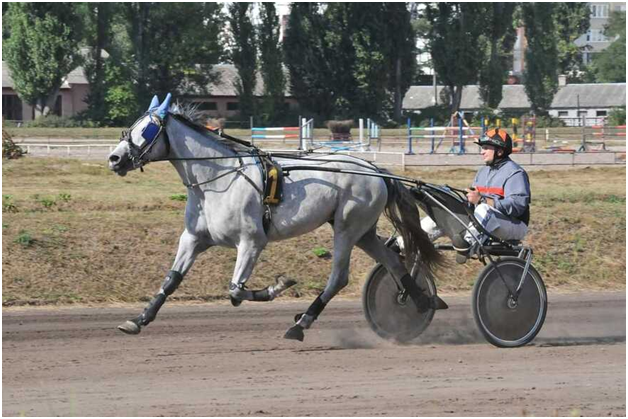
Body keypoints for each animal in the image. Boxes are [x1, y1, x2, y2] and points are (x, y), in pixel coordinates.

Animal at [106, 94, 446, 342]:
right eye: (129, 128)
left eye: (146, 130)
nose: (114, 158)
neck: (216, 180)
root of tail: (374, 169)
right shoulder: (193, 239)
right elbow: (171, 280)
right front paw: (138, 319)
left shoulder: (251, 241)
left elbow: (235, 290)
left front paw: (279, 285)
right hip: (362, 231)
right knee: (392, 261)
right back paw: (419, 301)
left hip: (348, 229)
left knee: (339, 277)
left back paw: (301, 323)